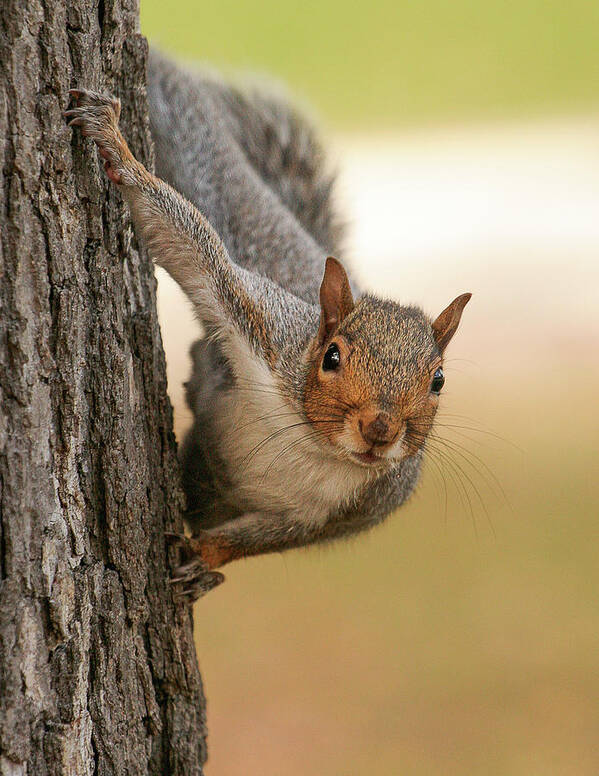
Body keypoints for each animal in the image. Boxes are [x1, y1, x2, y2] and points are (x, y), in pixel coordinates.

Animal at [65, 53, 474, 600]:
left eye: (439, 381)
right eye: (331, 357)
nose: (380, 429)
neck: (313, 445)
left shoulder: (346, 510)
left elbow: (265, 539)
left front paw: (203, 560)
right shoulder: (261, 324)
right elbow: (194, 250)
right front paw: (117, 148)